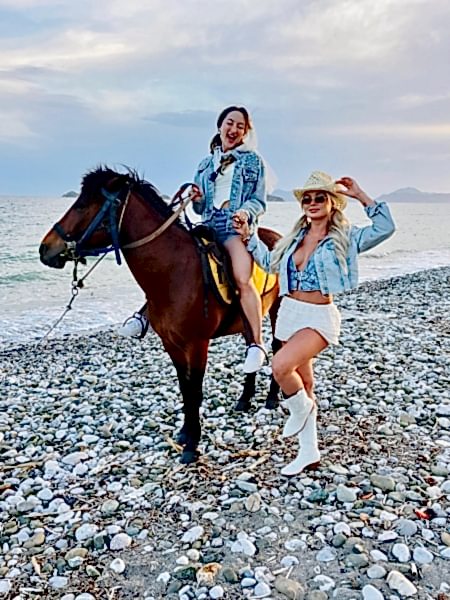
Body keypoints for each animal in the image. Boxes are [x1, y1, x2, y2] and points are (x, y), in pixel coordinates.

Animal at [39, 167, 282, 464]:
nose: (45, 249)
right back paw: (245, 399)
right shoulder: (171, 343)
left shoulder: (197, 344)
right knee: (252, 347)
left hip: (277, 310)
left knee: (277, 346)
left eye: (82, 205)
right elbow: (184, 388)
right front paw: (185, 433)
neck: (175, 272)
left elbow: (195, 390)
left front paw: (192, 445)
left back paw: (272, 398)